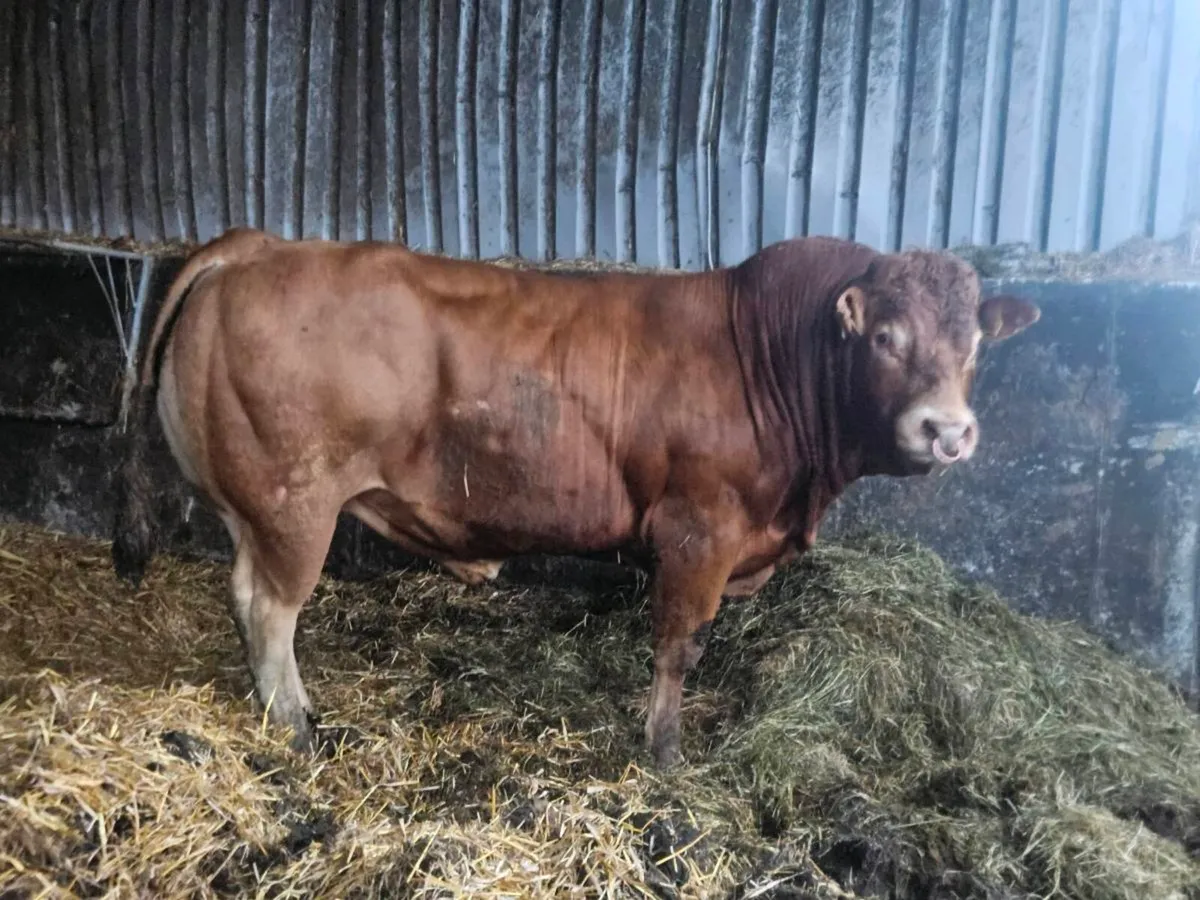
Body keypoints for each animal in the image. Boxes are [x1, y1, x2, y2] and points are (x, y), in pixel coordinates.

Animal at [111, 227, 1039, 768]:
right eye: (884, 336)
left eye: (974, 346)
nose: (947, 431)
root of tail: (257, 244)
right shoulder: (699, 533)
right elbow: (679, 648)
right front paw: (664, 755)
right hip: (294, 502)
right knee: (271, 611)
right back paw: (300, 731)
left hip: (258, 508)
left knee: (248, 600)